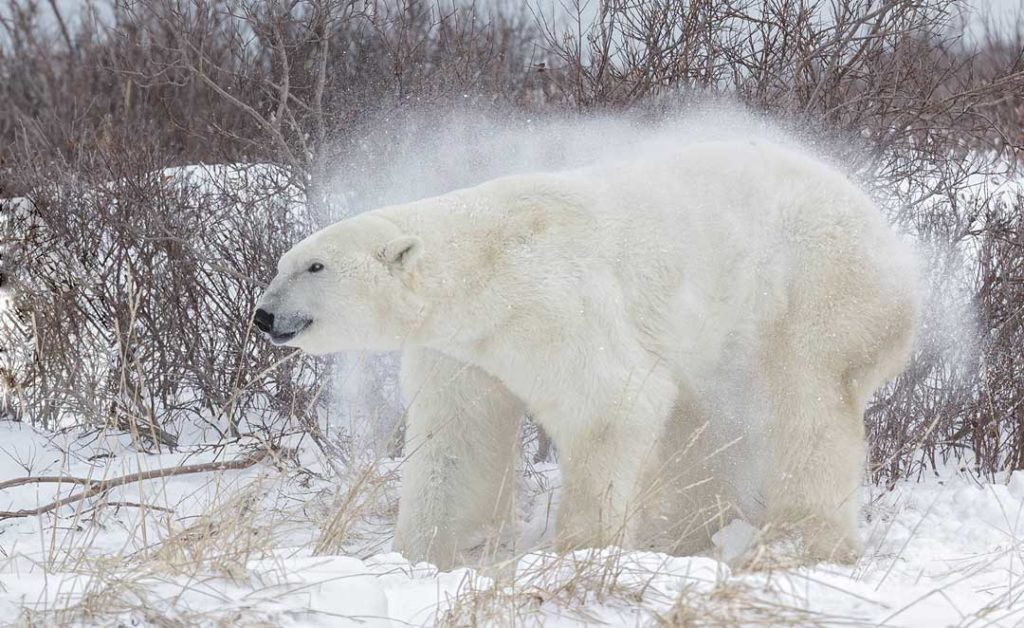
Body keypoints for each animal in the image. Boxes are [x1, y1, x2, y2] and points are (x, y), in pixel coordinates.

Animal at [254, 139, 919, 569]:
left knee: (808, 407)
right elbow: (459, 436)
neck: (488, 261)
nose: (263, 315)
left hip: (815, 290)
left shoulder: (552, 303)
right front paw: (423, 555)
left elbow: (614, 403)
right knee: (702, 426)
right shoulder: (464, 349)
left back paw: (802, 542)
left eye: (314, 267)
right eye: (284, 263)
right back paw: (686, 537)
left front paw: (581, 551)